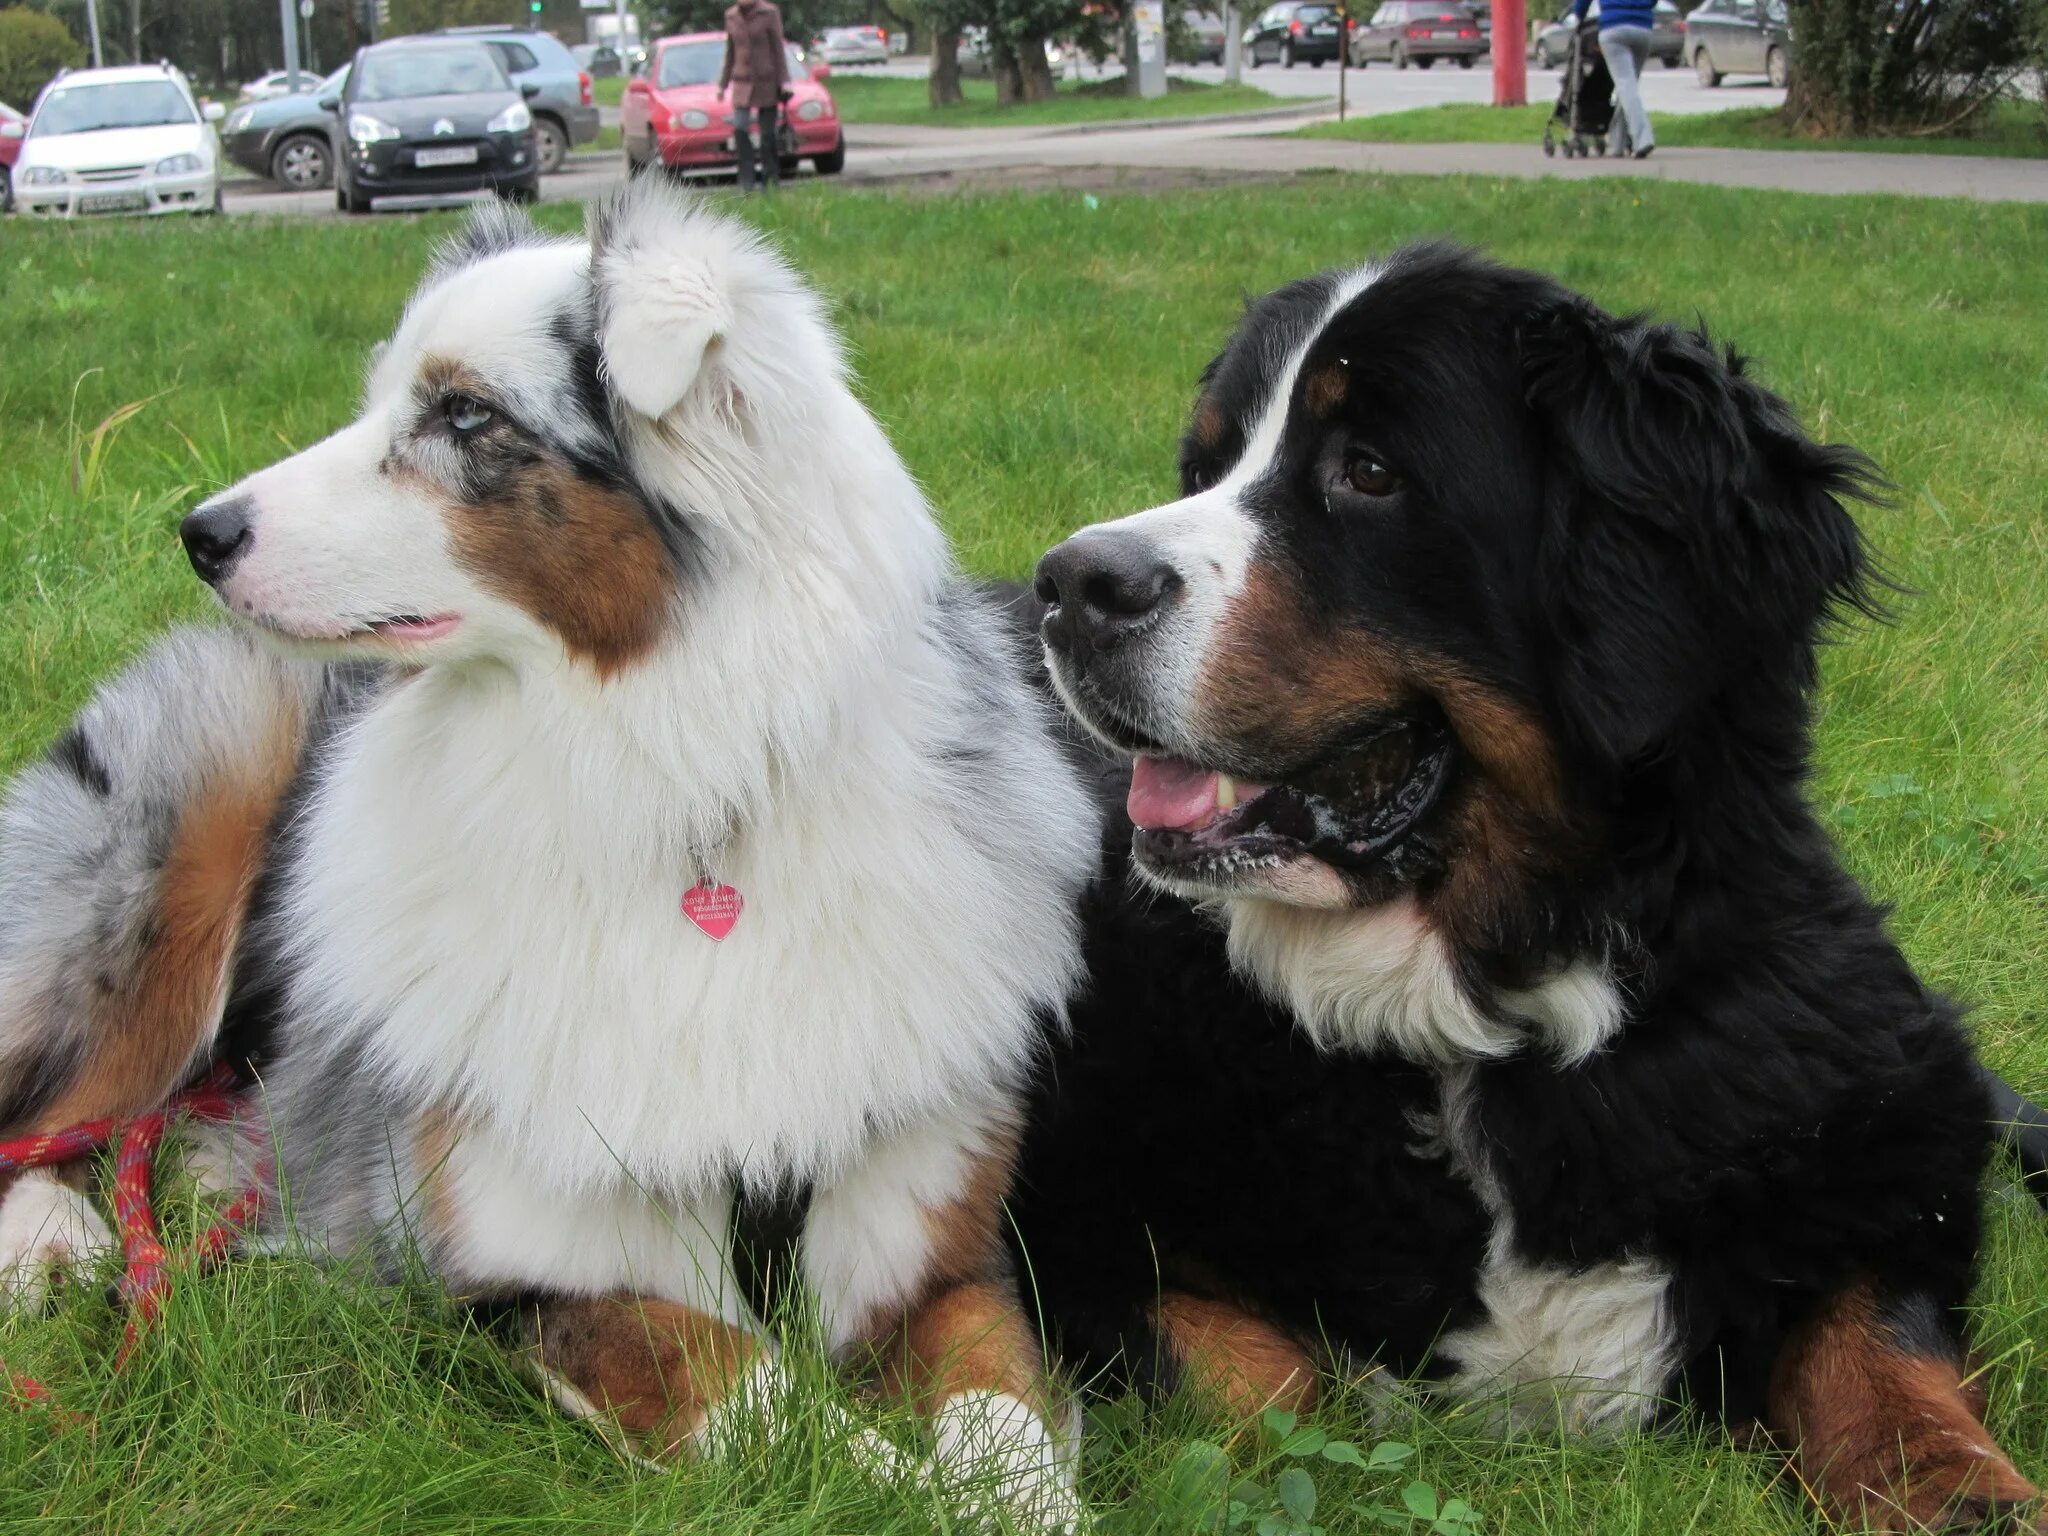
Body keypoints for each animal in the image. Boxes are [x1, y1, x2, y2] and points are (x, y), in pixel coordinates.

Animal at [0, 180, 1089, 1531]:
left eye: (464, 413)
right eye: (381, 396)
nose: (199, 532)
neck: (663, 790)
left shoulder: (941, 1255)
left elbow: (1005, 1429)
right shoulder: (491, 1282)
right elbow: (755, 1388)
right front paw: (880, 1480)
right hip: (180, 846)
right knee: (56, 1115)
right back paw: (51, 1240)